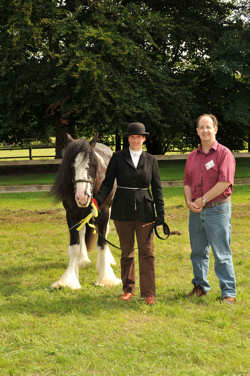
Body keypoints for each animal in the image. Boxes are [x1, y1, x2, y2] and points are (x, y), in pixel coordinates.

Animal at [50, 134, 121, 290]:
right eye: (72, 166)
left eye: (93, 165)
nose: (82, 197)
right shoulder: (71, 214)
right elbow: (75, 244)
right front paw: (69, 280)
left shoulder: (104, 212)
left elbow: (102, 242)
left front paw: (106, 278)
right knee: (82, 232)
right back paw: (82, 259)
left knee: (105, 232)